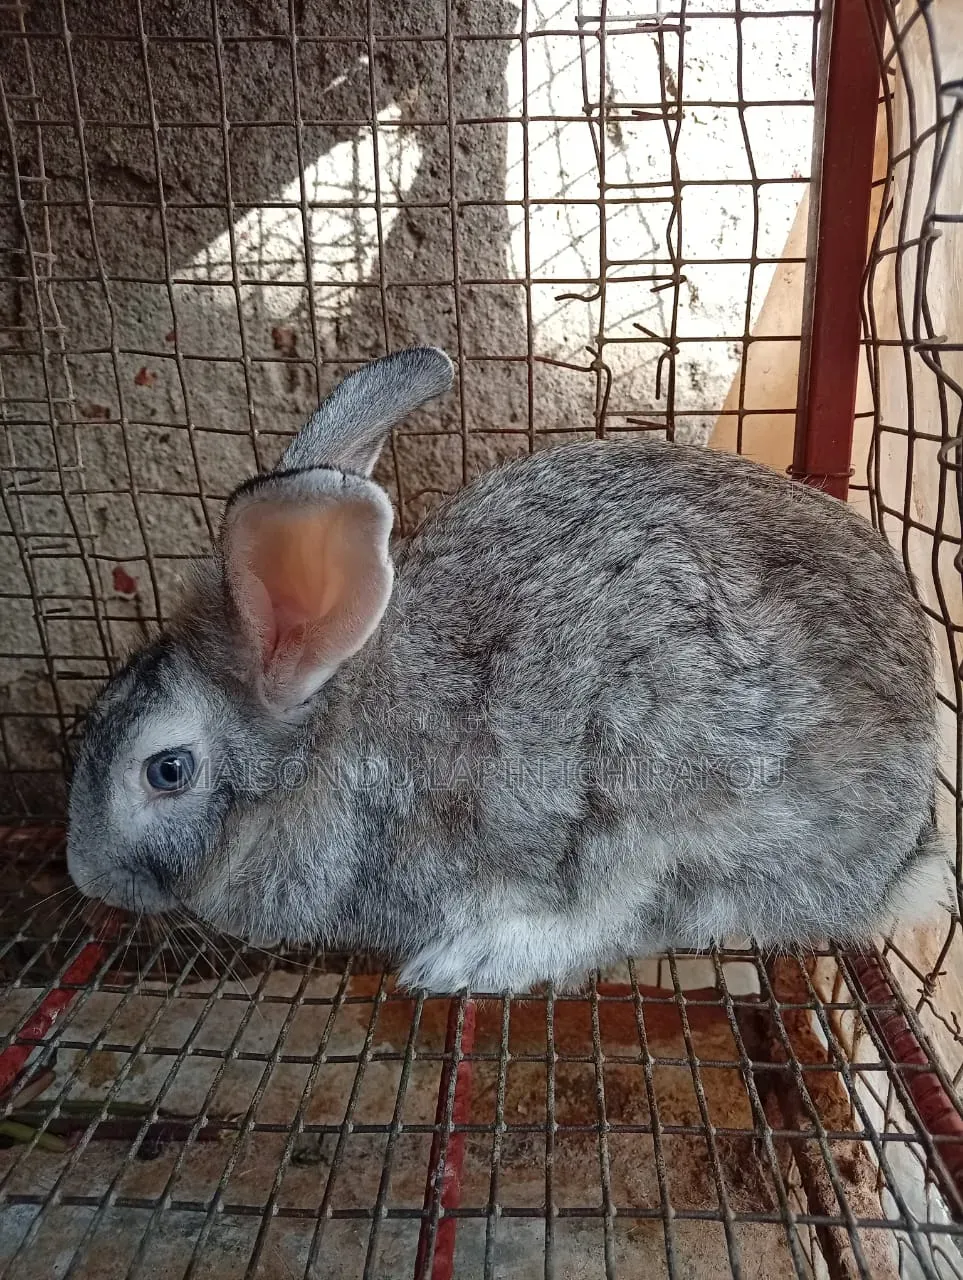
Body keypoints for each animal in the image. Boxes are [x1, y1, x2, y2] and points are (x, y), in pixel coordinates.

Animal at [66, 346, 947, 994]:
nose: (86, 878)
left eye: (167, 770)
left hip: (667, 777)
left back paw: (472, 961)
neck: (327, 745)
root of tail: (899, 858)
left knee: (627, 908)